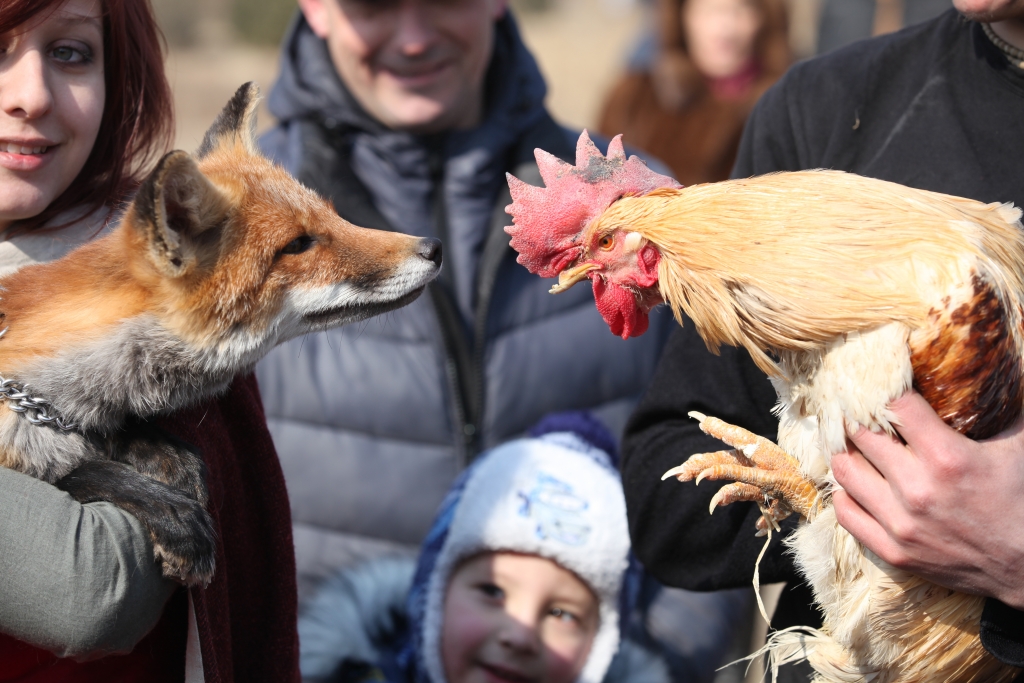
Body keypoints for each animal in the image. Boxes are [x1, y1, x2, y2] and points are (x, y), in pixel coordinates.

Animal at [0, 83, 440, 589]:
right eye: (298, 244)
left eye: (335, 217)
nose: (434, 247)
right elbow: (76, 473)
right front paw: (167, 509)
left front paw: (160, 452)